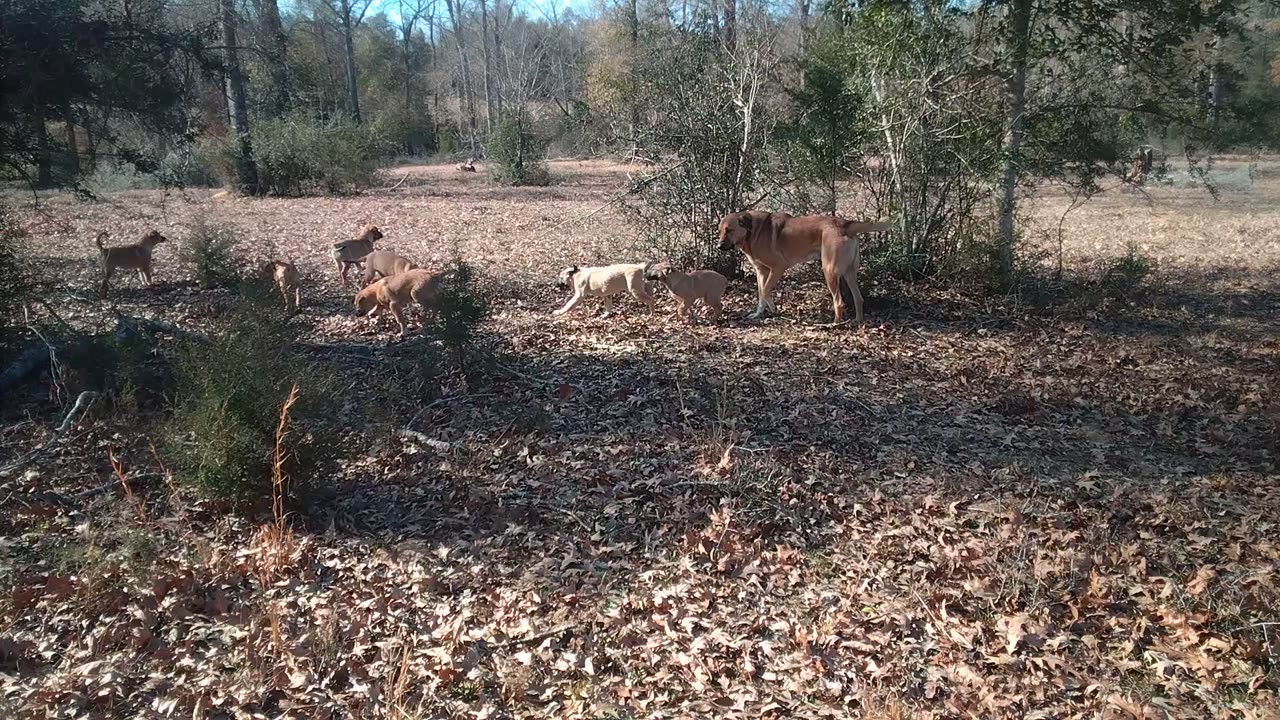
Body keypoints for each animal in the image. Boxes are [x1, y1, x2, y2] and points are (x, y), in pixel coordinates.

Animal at [721, 210, 890, 322]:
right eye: (720, 231)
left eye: (729, 230)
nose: (718, 246)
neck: (752, 232)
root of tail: (845, 224)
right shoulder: (761, 271)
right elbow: (763, 293)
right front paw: (761, 313)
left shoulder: (778, 267)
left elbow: (765, 291)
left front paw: (772, 310)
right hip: (849, 273)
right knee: (858, 299)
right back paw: (858, 321)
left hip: (829, 270)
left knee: (839, 301)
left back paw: (835, 324)